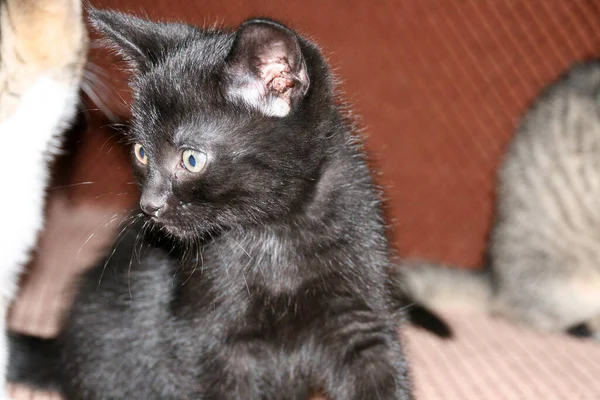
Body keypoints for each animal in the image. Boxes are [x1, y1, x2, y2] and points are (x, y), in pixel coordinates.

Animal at [9, 9, 414, 400]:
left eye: (191, 159)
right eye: (141, 152)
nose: (148, 205)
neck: (277, 232)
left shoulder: (360, 314)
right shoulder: (206, 340)